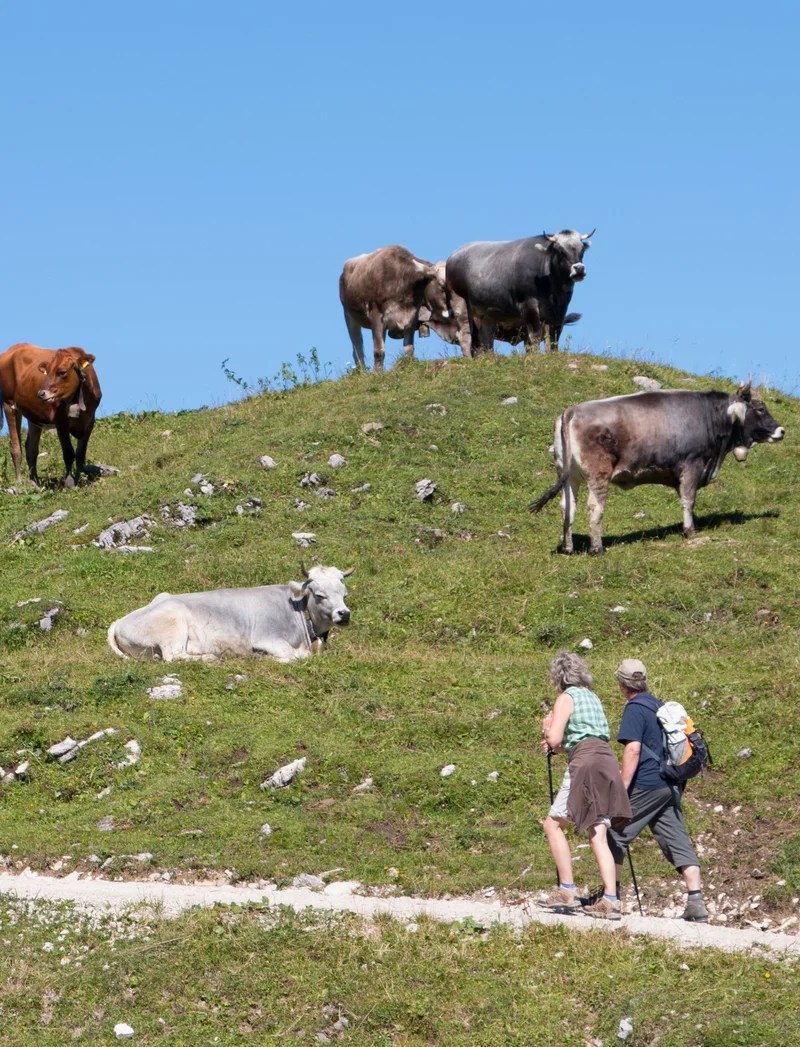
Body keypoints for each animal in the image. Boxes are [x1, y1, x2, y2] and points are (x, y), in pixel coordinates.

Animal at [0, 343, 102, 487]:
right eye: (46, 372)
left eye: (62, 372)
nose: (41, 393)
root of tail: (15, 347)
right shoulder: (61, 422)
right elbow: (68, 453)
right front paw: (69, 482)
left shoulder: (90, 421)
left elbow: (80, 454)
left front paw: (79, 479)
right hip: (9, 404)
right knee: (15, 447)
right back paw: (19, 482)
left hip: (33, 417)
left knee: (31, 449)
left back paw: (35, 481)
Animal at [107, 564, 355, 663]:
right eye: (319, 595)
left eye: (344, 593)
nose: (344, 614)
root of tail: (120, 620)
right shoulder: (267, 638)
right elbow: (296, 656)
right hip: (173, 624)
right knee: (173, 656)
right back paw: (211, 658)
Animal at [446, 230, 594, 356]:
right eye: (560, 250)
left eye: (581, 250)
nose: (579, 269)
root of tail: (455, 254)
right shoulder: (529, 304)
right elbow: (534, 335)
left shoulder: (559, 312)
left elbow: (553, 337)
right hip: (459, 301)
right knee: (465, 334)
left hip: (486, 311)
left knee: (486, 338)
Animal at [529, 382, 785, 555]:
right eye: (760, 408)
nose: (781, 430)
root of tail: (572, 410)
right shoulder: (692, 464)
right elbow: (688, 499)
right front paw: (690, 531)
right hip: (597, 475)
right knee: (594, 508)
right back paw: (597, 549)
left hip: (569, 476)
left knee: (567, 508)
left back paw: (568, 548)